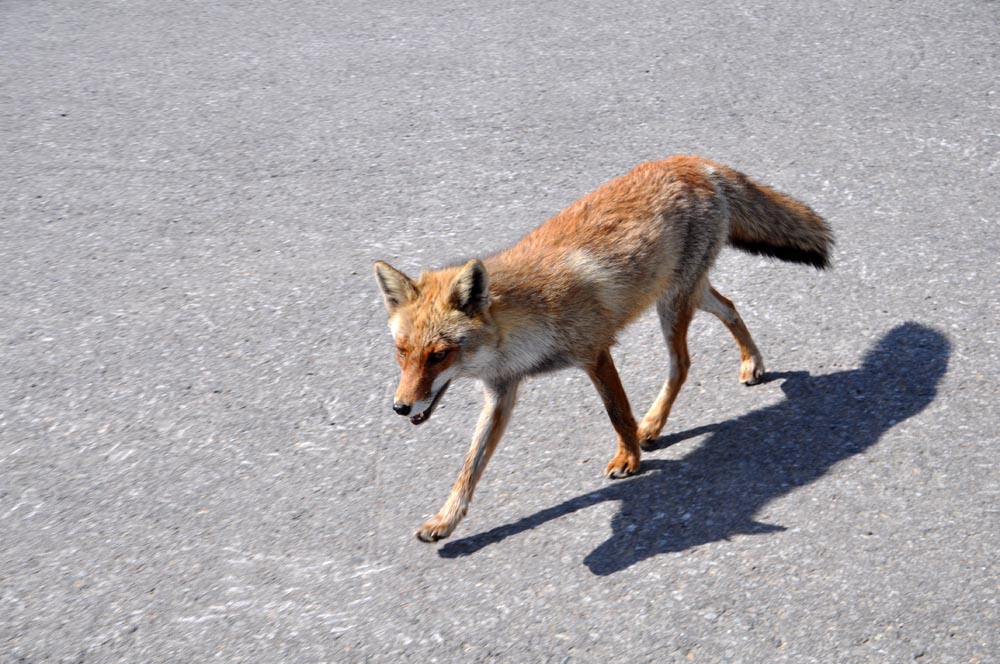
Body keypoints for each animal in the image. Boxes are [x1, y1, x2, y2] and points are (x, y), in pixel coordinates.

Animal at [372, 157, 832, 544]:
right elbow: (470, 467)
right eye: (402, 352)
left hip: (672, 303)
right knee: (731, 307)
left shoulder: (595, 352)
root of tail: (694, 161)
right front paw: (446, 520)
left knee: (682, 363)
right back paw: (750, 362)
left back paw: (654, 423)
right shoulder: (501, 390)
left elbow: (618, 413)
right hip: (684, 293)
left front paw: (629, 458)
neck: (525, 330)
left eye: (439, 355)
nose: (399, 407)